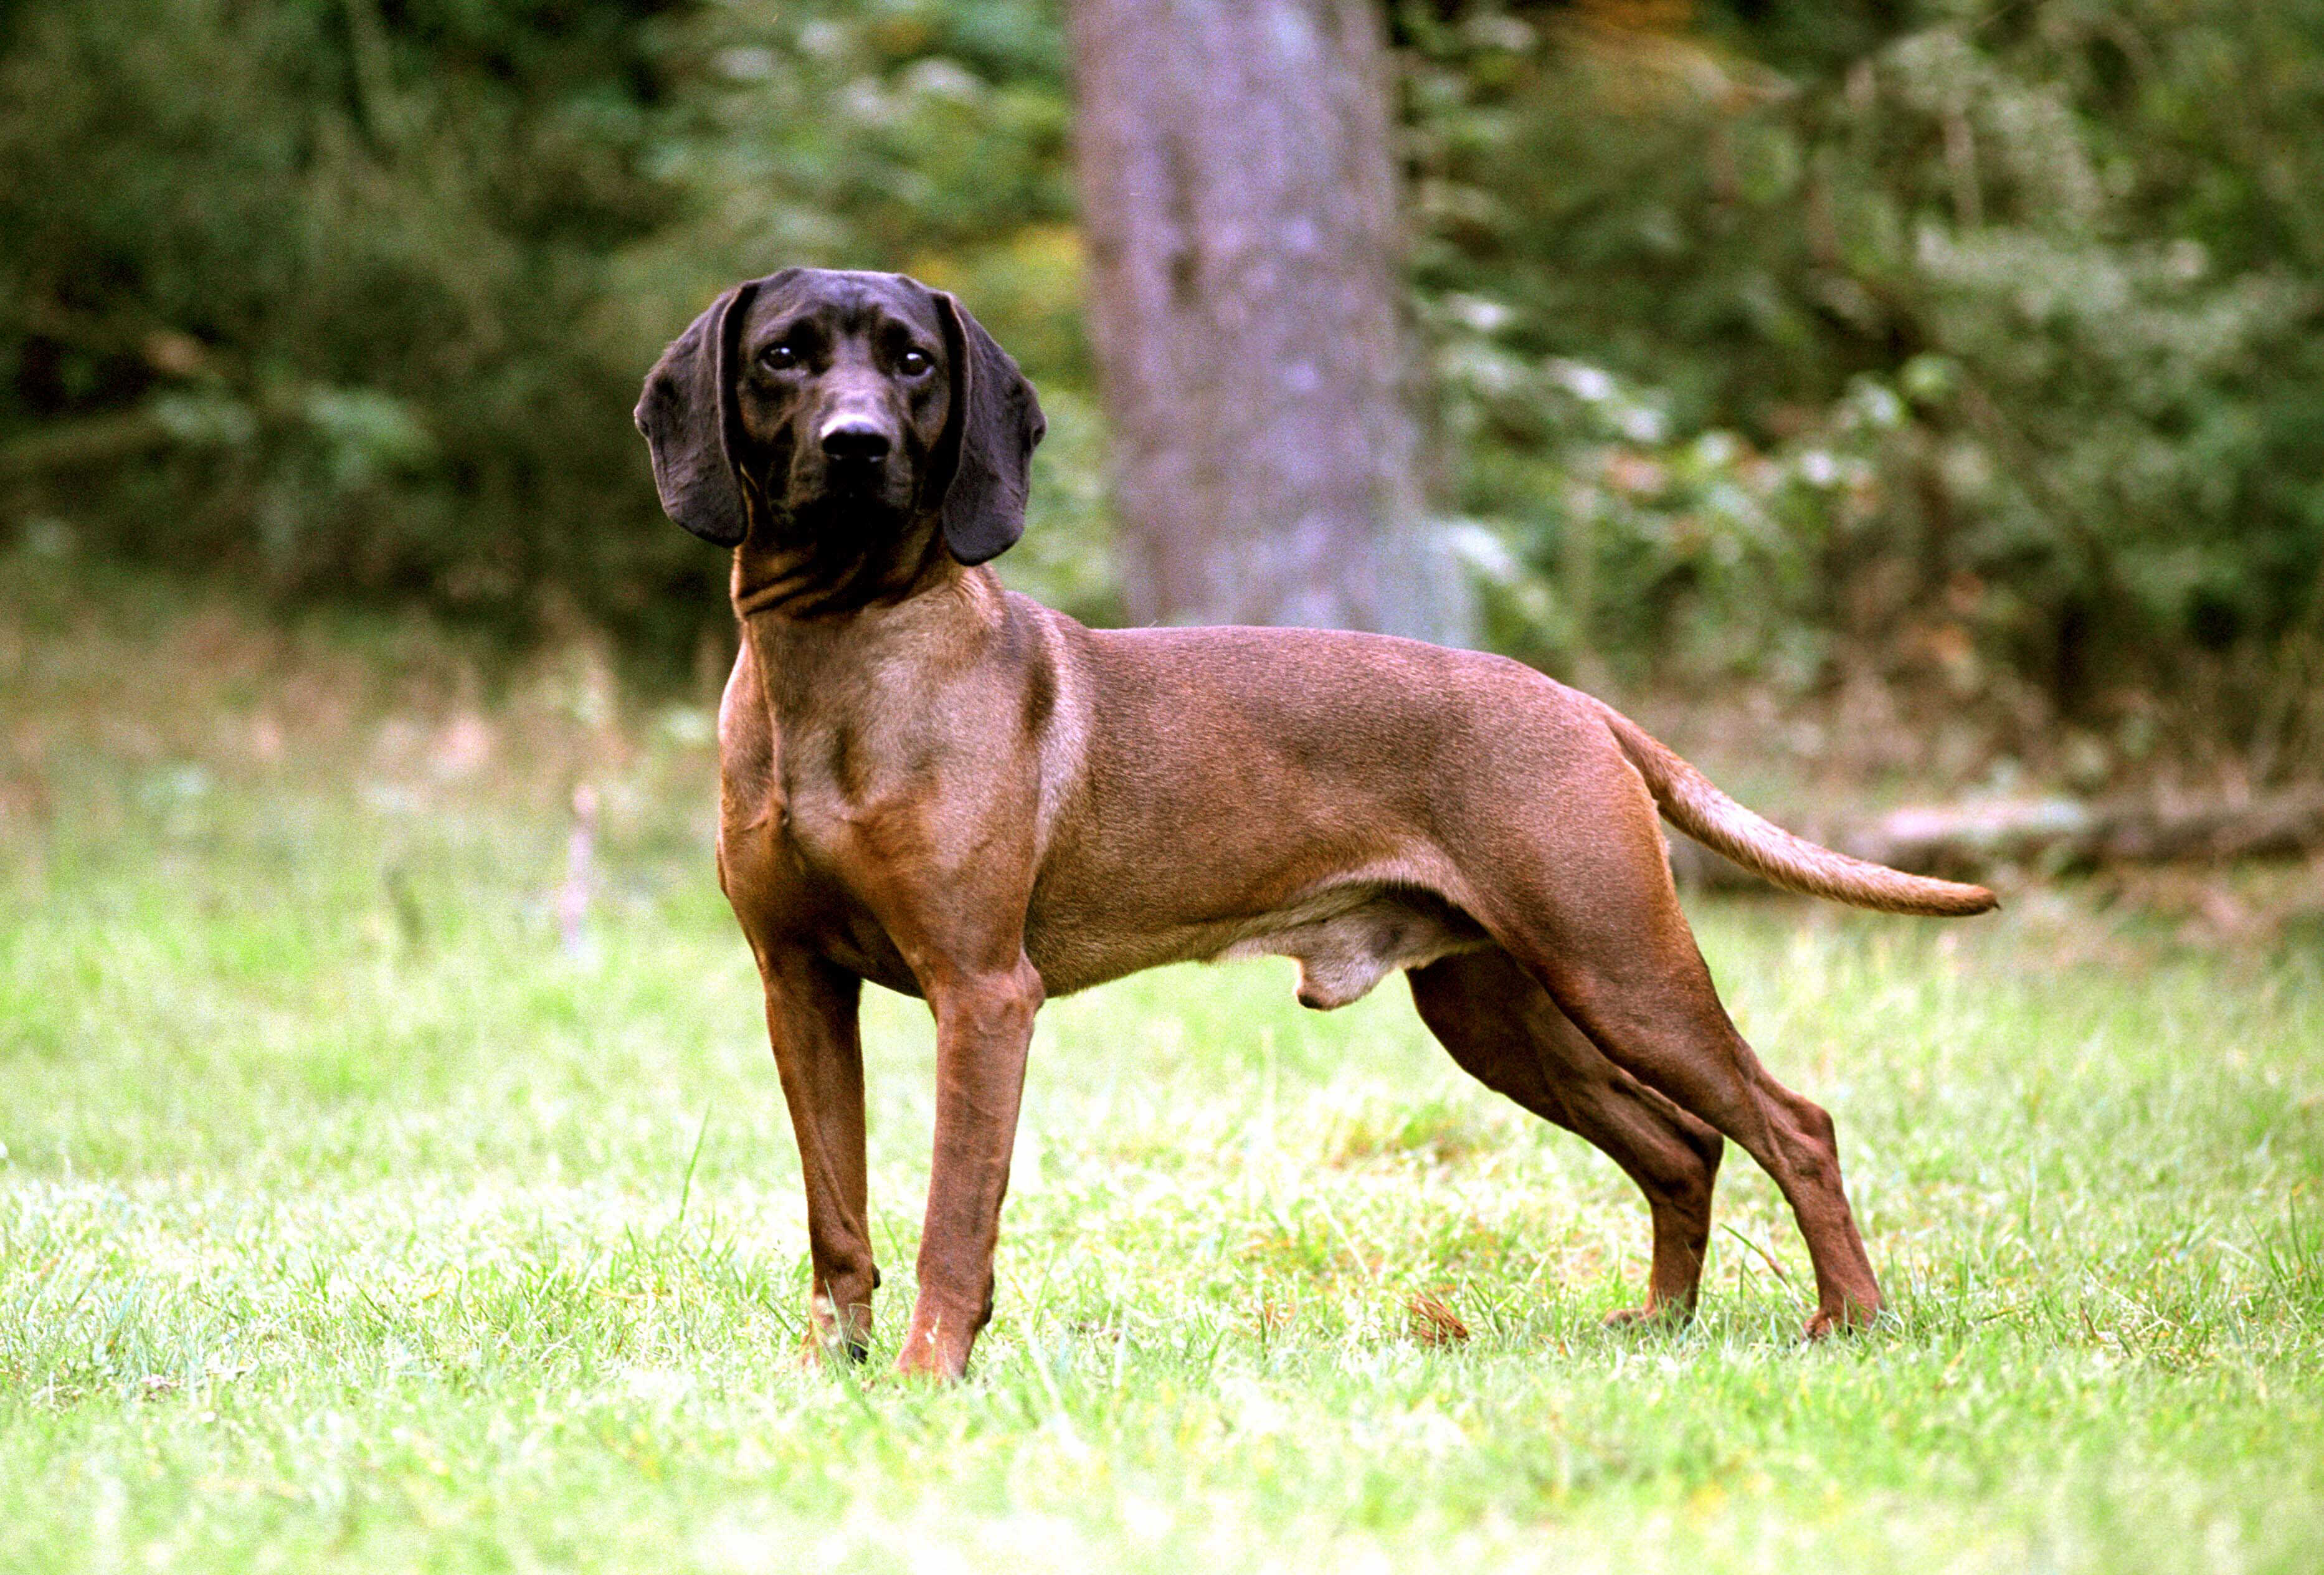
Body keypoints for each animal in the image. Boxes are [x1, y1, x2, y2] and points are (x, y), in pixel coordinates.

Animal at [637, 272, 1998, 1384]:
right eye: (783, 355)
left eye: (914, 361)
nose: (856, 446)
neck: (840, 655)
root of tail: (1575, 704)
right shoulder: (800, 985)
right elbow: (837, 1209)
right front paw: (831, 1368)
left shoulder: (982, 992)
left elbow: (951, 1211)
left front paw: (927, 1372)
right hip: (1501, 1010)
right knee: (1680, 1146)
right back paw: (1662, 1321)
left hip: (1620, 965)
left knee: (1790, 1122)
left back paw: (1850, 1317)